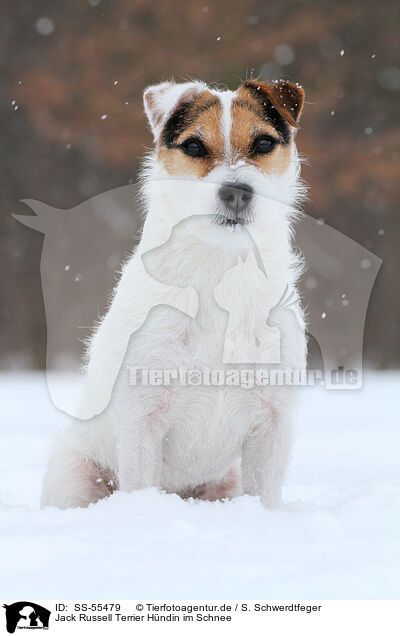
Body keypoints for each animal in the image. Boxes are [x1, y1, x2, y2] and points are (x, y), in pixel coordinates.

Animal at [41, 78, 306, 506]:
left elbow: (265, 495)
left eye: (264, 143)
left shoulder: (272, 421)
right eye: (194, 146)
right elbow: (141, 483)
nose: (237, 191)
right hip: (75, 476)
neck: (219, 268)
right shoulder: (142, 418)